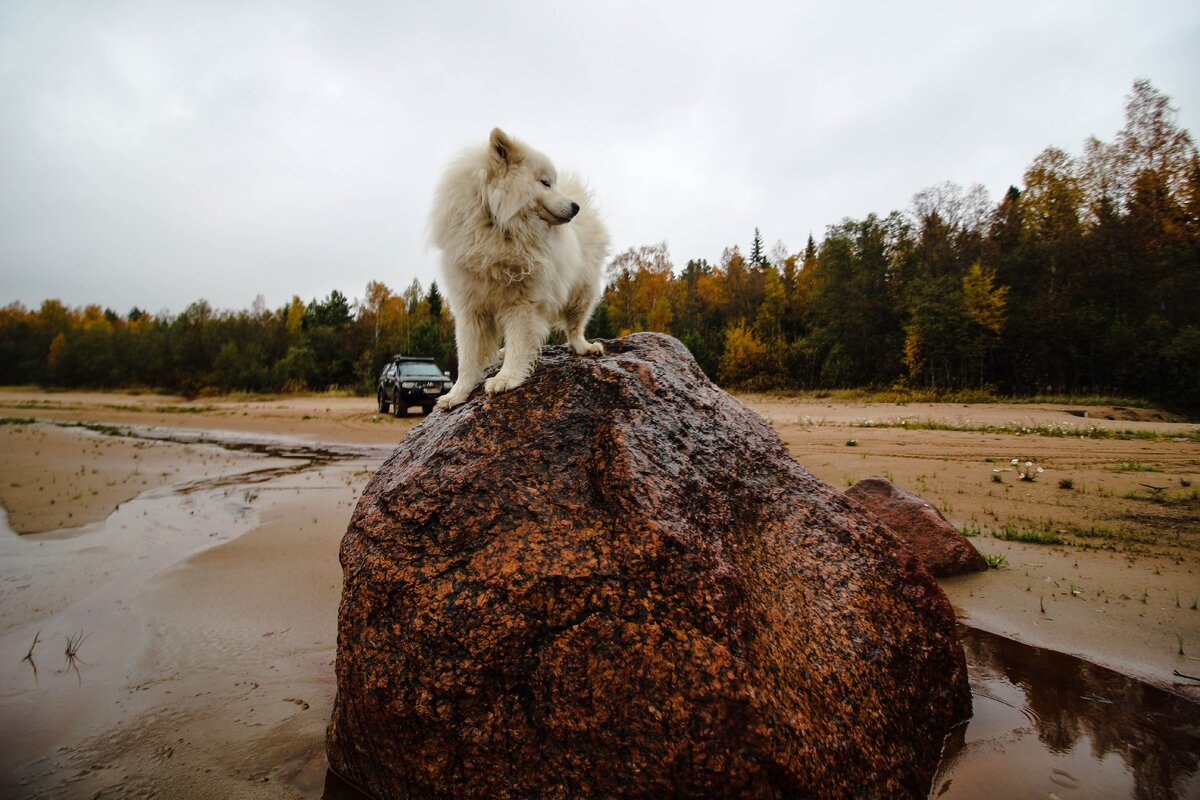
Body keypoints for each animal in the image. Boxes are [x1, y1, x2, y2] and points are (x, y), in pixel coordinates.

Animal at [427, 128, 609, 410]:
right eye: (545, 183)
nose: (575, 207)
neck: (498, 227)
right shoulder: (470, 308)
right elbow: (467, 358)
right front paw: (457, 394)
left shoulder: (523, 304)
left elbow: (519, 343)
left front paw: (506, 378)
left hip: (582, 293)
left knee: (575, 328)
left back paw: (584, 347)